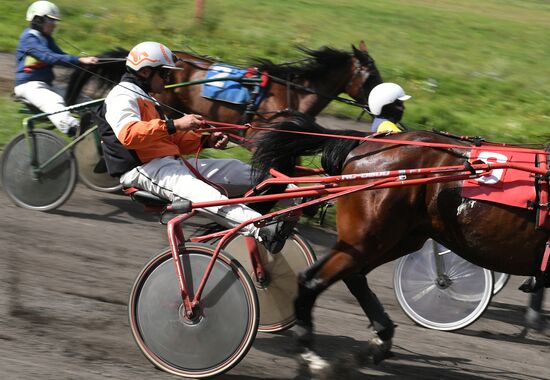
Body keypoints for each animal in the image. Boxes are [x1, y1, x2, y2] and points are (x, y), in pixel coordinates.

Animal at [251, 115, 550, 368]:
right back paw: (310, 354)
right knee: (312, 279)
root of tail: (368, 144)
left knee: (354, 275)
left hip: (398, 239)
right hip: (369, 237)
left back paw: (380, 338)